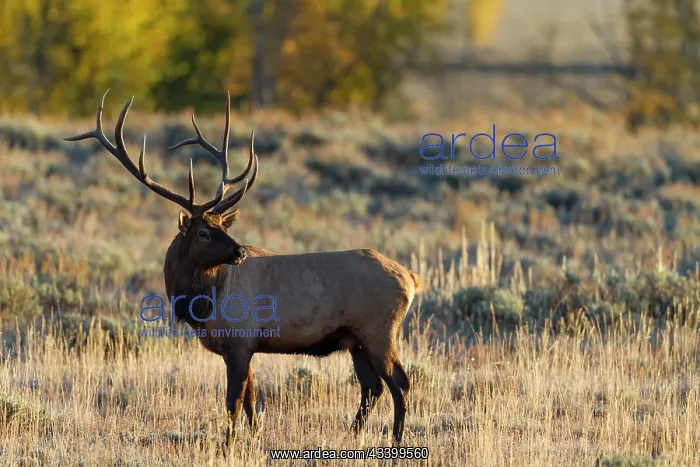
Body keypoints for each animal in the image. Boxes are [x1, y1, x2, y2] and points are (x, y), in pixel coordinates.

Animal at [64, 90, 422, 446]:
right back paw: (352, 435)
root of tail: (410, 279)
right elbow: (250, 397)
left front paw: (228, 444)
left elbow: (233, 399)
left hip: (378, 329)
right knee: (372, 387)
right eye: (205, 231)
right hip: (355, 339)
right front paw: (254, 437)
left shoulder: (239, 341)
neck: (204, 301)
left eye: (222, 225)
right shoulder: (243, 346)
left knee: (400, 382)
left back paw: (396, 440)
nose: (238, 252)